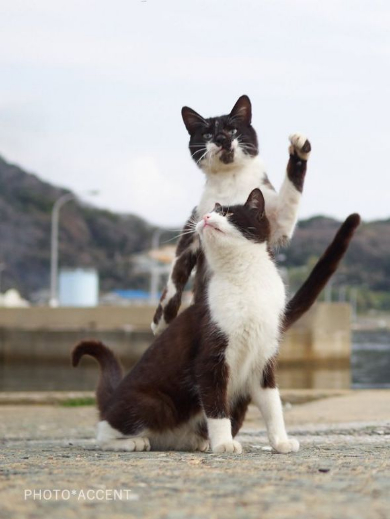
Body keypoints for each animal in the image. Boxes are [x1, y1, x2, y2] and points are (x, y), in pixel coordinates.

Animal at [72, 191, 360, 456]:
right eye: (211, 212)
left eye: (228, 214)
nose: (206, 218)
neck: (245, 278)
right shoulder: (211, 356)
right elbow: (216, 405)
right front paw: (223, 444)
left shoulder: (265, 359)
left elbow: (273, 406)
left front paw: (280, 442)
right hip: (153, 402)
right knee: (105, 429)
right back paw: (132, 442)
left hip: (238, 402)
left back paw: (195, 442)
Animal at [152, 94, 310, 338]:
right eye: (207, 134)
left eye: (233, 130)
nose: (221, 138)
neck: (231, 180)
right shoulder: (194, 222)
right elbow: (176, 270)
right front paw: (162, 320)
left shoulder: (279, 222)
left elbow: (291, 193)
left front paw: (299, 148)